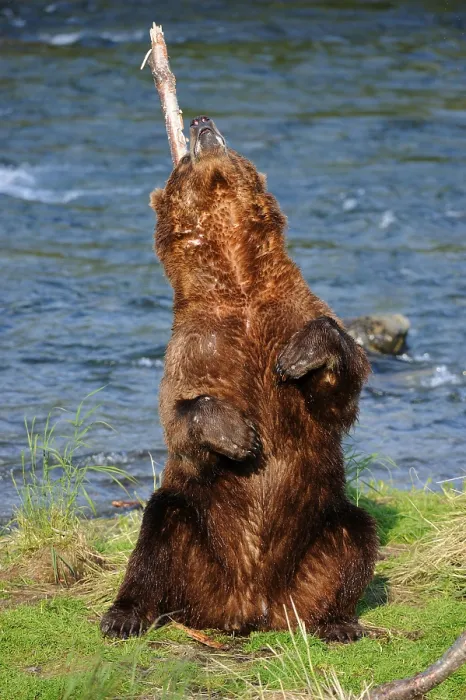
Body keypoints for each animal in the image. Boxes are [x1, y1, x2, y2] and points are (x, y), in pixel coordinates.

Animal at [100, 115, 378, 642]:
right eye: (180, 164)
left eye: (235, 148)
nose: (200, 122)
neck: (239, 283)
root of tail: (252, 604)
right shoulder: (195, 345)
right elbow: (177, 413)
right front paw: (237, 435)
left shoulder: (290, 311)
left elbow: (340, 390)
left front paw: (301, 356)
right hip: (200, 553)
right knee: (160, 526)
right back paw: (125, 614)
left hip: (315, 538)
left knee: (353, 531)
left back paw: (337, 622)